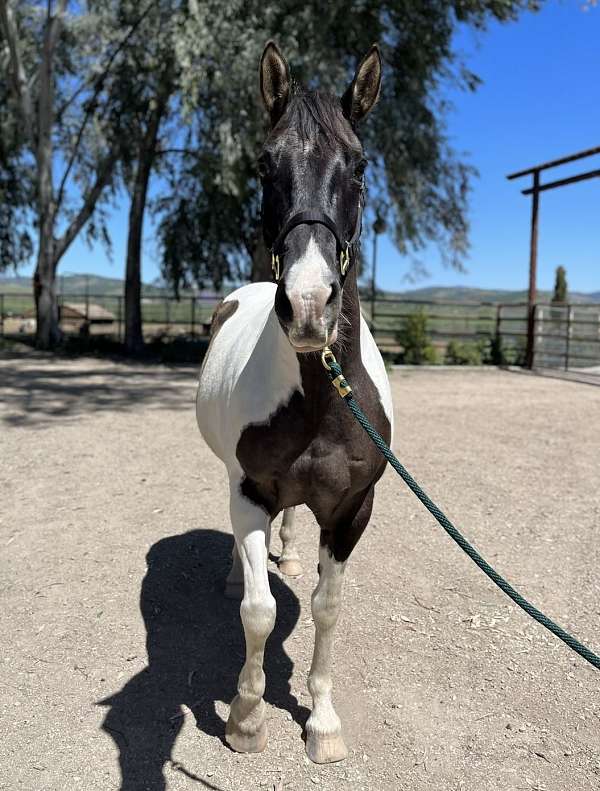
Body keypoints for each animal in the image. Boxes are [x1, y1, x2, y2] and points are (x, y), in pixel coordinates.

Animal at [197, 41, 394, 760]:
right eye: (263, 163)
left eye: (359, 164)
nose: (309, 304)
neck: (318, 399)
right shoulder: (251, 489)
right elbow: (260, 611)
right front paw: (246, 716)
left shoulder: (353, 508)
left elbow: (326, 608)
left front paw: (323, 721)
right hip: (231, 477)